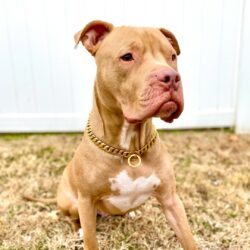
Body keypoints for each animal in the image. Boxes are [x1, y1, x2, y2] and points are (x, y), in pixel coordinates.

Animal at [57, 20, 197, 250]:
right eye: (127, 56)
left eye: (172, 56)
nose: (171, 77)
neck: (131, 148)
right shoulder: (86, 201)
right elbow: (90, 240)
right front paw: (84, 234)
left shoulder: (171, 199)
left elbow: (187, 237)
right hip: (71, 203)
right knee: (72, 218)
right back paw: (78, 229)